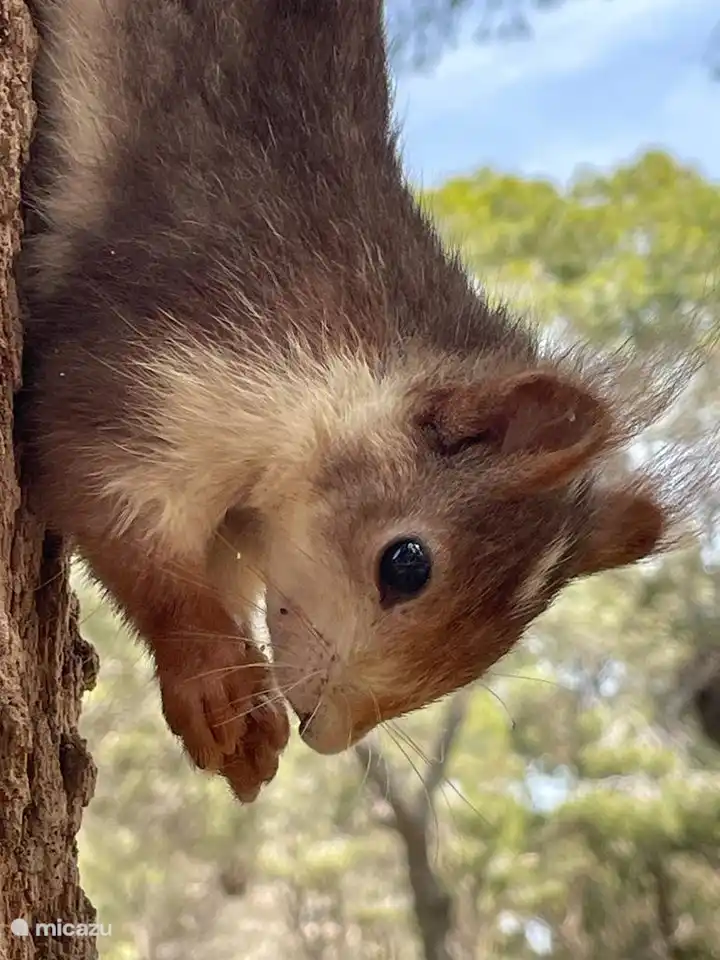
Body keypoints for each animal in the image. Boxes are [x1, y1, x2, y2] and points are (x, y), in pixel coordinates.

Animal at [15, 0, 714, 803]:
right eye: (405, 565)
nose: (325, 732)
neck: (337, 371)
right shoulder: (167, 356)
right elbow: (103, 496)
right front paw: (216, 679)